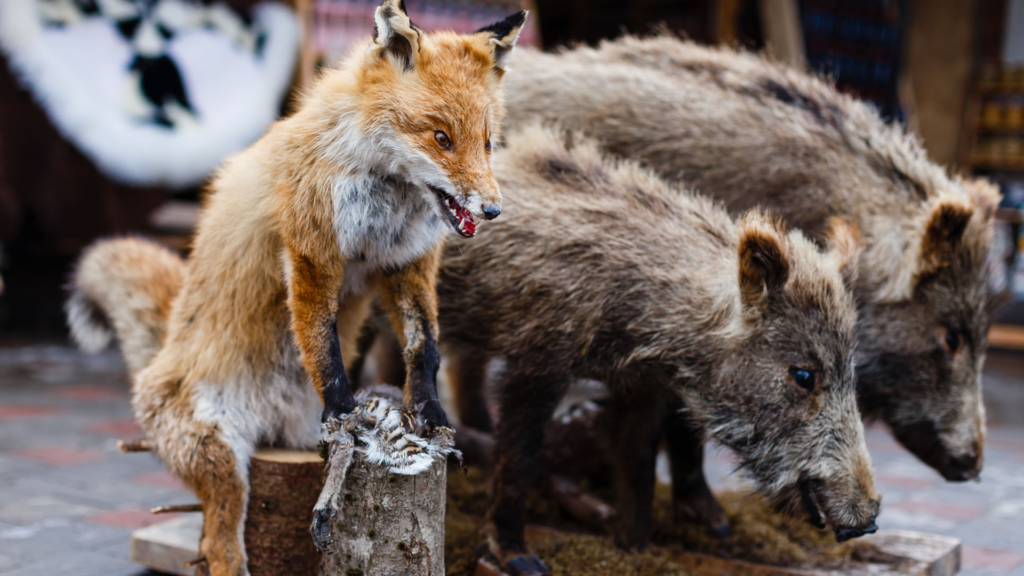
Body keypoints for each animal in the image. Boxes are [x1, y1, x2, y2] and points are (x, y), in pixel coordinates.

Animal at [65, 2, 528, 569]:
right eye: (441, 138)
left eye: (487, 142)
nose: (492, 210)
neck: (386, 198)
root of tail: (275, 424)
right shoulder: (312, 247)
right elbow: (322, 342)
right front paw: (343, 414)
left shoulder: (407, 261)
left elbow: (425, 348)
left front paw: (430, 412)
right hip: (215, 454)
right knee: (217, 541)